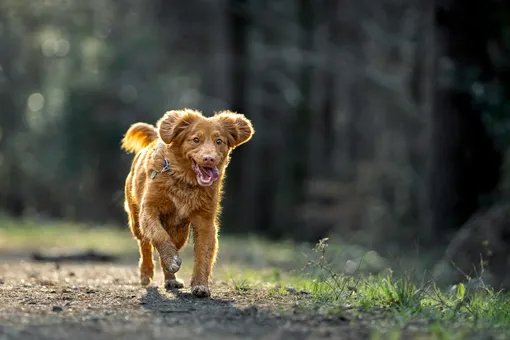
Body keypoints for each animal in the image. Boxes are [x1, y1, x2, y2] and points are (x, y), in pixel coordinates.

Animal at [120, 109, 255, 298]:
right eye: (196, 139)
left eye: (219, 141)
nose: (209, 159)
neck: (185, 182)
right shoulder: (149, 211)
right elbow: (158, 236)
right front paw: (172, 259)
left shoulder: (205, 221)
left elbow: (203, 254)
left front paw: (200, 285)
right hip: (136, 221)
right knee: (145, 244)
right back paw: (146, 272)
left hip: (180, 232)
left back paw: (170, 279)